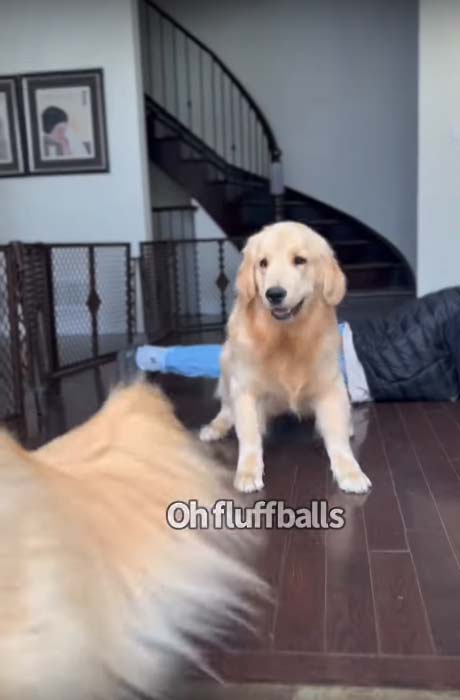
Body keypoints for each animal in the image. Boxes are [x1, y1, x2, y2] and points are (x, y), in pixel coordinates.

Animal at [200, 221, 370, 494]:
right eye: (263, 263)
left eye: (299, 260)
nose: (274, 294)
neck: (285, 338)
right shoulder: (245, 389)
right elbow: (248, 435)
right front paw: (248, 472)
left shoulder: (330, 386)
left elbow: (338, 438)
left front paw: (350, 471)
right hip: (225, 361)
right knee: (227, 408)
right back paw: (215, 428)